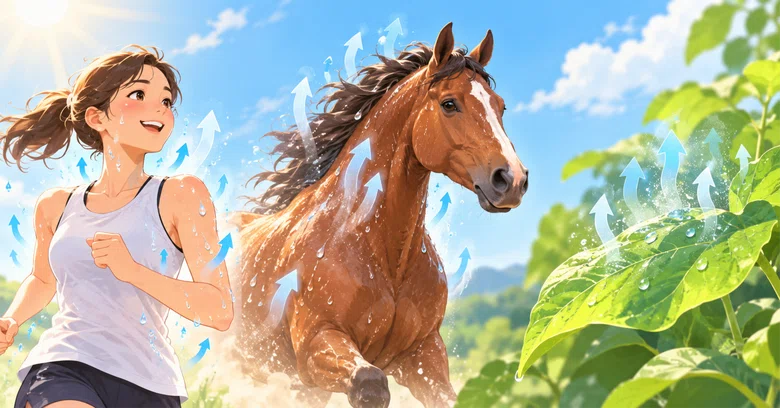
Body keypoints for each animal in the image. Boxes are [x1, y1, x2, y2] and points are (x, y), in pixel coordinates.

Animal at [228, 22, 528, 408]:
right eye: (449, 103)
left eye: (500, 105)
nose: (512, 180)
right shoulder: (316, 345)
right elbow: (370, 384)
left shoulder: (423, 355)